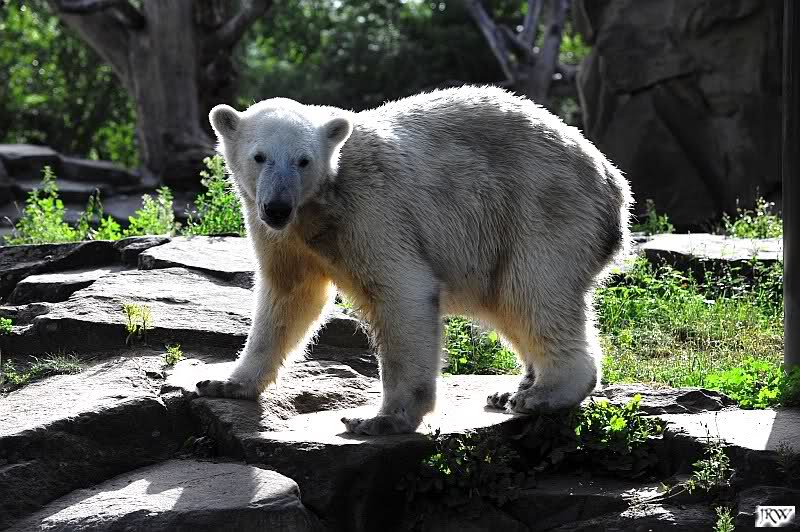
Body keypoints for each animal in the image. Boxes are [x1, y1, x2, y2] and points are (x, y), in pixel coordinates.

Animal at [196, 85, 632, 436]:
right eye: (259, 157)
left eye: (303, 160)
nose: (277, 207)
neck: (322, 205)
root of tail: (614, 183)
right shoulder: (285, 238)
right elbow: (287, 298)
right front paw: (224, 383)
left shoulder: (373, 211)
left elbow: (402, 294)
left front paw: (379, 419)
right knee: (509, 302)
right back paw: (512, 387)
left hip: (542, 211)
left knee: (533, 293)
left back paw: (544, 393)